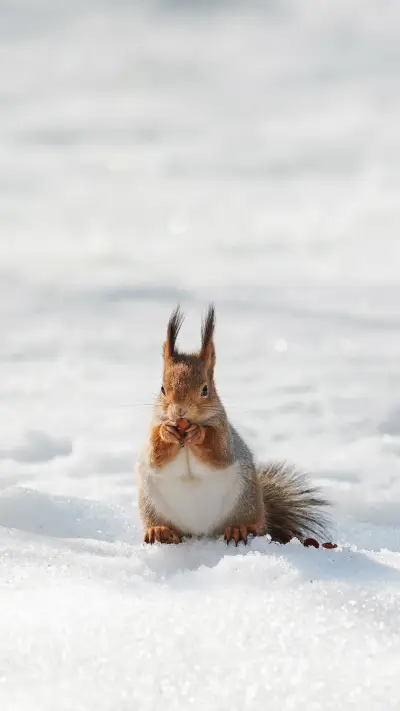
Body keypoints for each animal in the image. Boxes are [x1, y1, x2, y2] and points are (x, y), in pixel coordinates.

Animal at [136, 305, 329, 546]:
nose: (180, 410)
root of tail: (200, 533)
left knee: (254, 526)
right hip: (150, 506)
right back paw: (160, 531)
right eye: (162, 389)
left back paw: (239, 529)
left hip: (247, 503)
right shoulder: (152, 430)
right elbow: (155, 456)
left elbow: (218, 453)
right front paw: (166, 432)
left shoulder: (224, 432)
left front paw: (199, 433)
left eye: (205, 390)